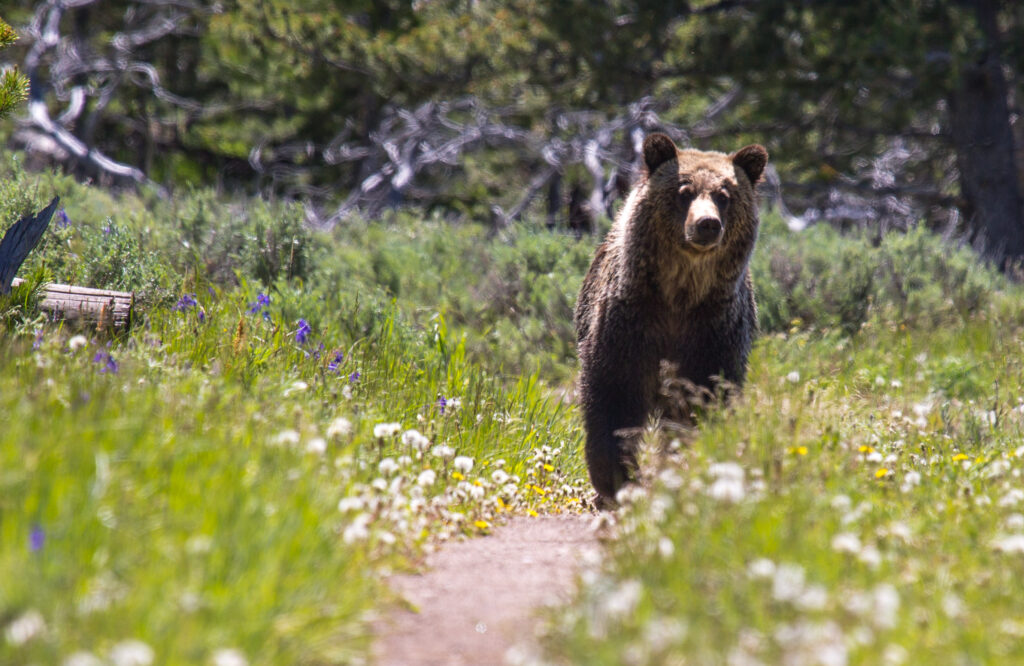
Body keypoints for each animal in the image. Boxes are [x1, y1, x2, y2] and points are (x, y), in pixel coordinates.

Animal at [573, 132, 765, 500]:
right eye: (684, 191)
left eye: (724, 195)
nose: (707, 224)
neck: (679, 295)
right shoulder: (631, 321)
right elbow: (614, 394)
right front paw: (614, 477)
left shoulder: (713, 329)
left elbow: (703, 398)